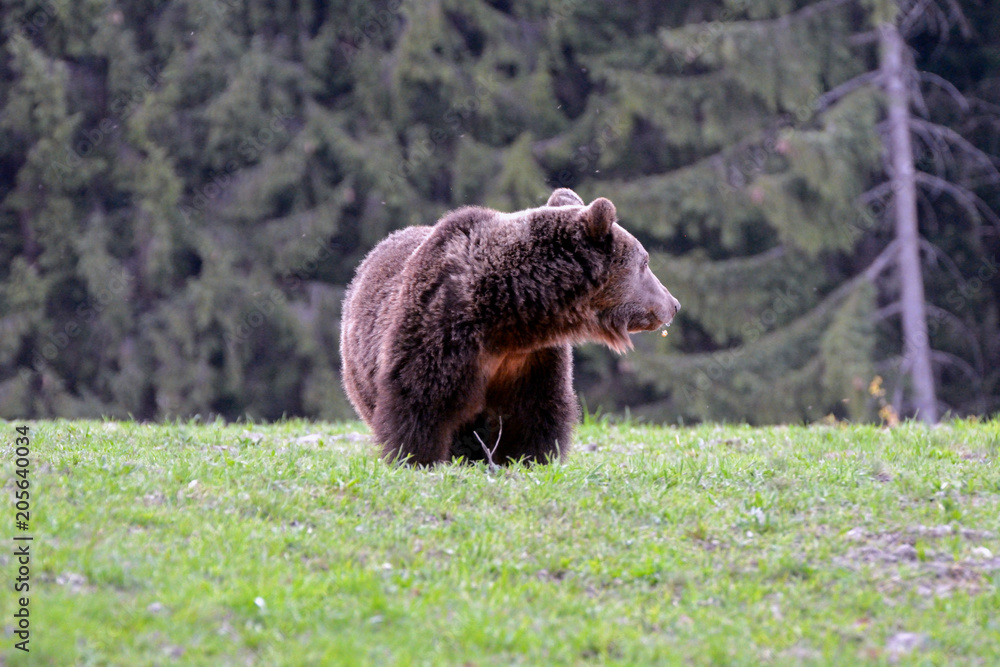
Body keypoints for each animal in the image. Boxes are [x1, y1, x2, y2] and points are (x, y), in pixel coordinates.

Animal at [340, 188, 680, 465]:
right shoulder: (440, 328)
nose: (673, 303)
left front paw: (527, 459)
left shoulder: (531, 359)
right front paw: (417, 457)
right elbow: (421, 403)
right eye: (645, 262)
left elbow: (535, 413)